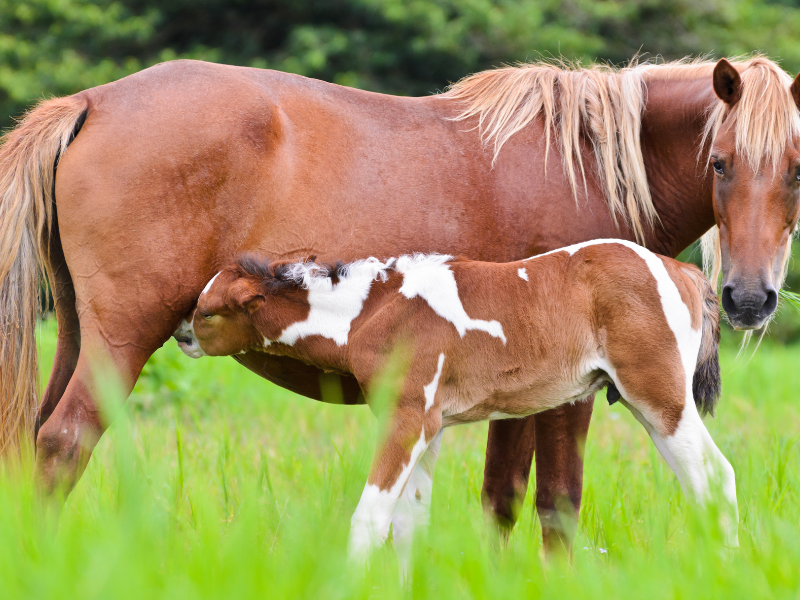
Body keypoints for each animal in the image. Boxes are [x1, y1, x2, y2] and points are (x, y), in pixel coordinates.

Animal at [175, 240, 736, 569]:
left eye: (208, 312)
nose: (181, 335)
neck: (372, 312)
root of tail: (682, 271)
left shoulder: (407, 418)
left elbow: (370, 518)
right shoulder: (431, 427)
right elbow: (409, 523)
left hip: (659, 396)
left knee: (714, 475)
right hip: (648, 405)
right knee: (703, 480)